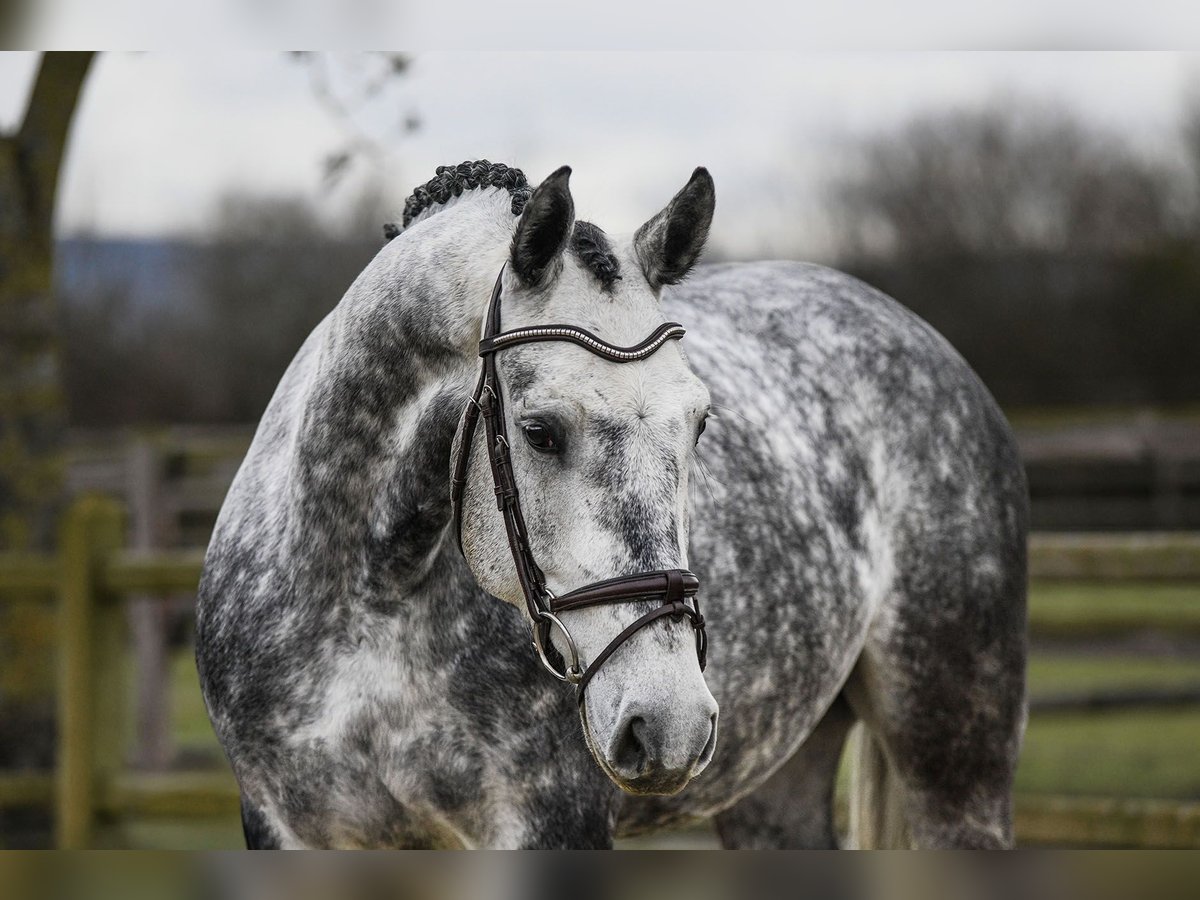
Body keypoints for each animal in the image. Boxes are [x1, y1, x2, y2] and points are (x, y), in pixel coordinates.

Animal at [194, 158, 1022, 849]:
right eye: (539, 431)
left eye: (701, 423)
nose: (670, 723)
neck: (369, 599)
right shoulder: (283, 827)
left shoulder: (550, 825)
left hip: (958, 776)